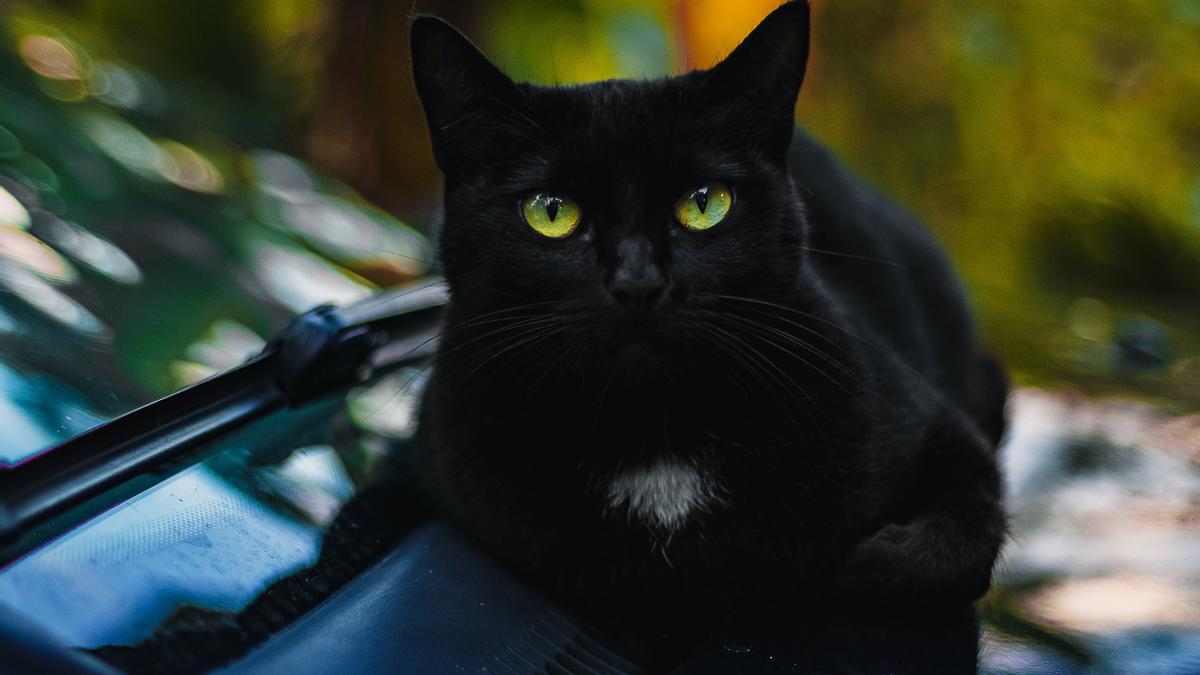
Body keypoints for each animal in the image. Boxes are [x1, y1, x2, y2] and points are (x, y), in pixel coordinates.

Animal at [410, 0, 1003, 662]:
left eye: (704, 203)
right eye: (551, 212)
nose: (639, 281)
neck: (658, 437)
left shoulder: (934, 425)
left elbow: (964, 532)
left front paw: (868, 561)